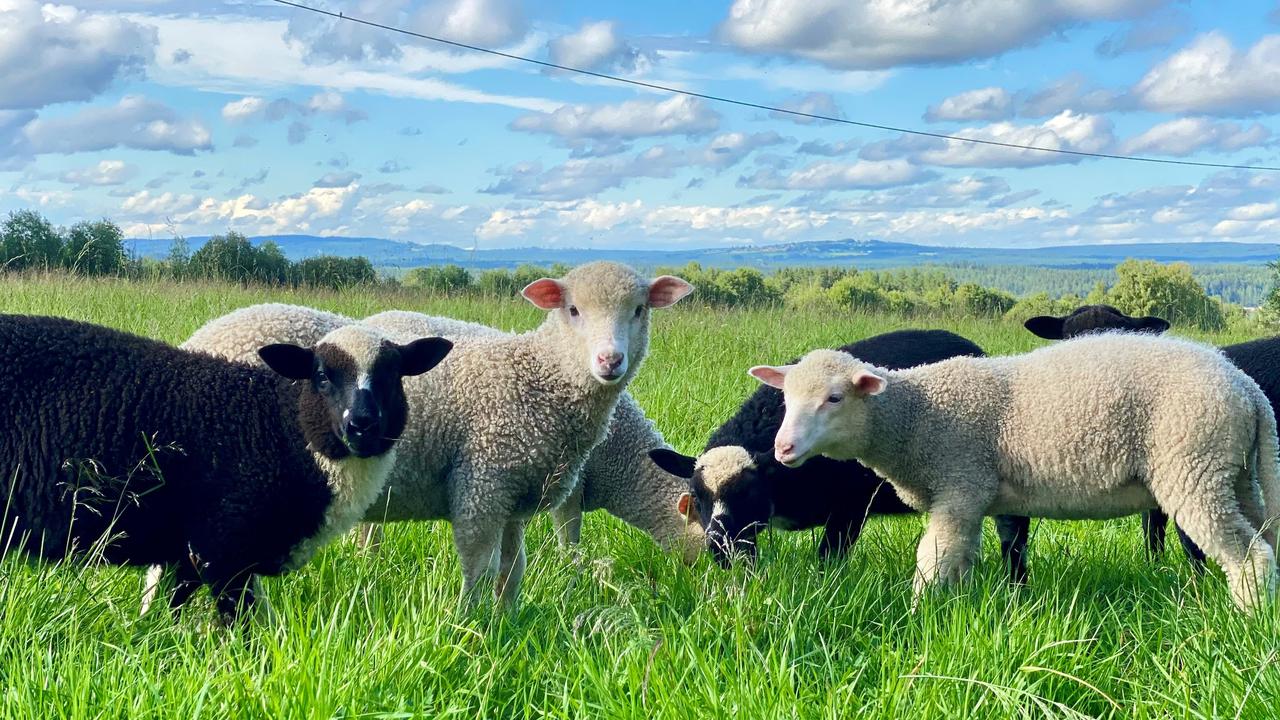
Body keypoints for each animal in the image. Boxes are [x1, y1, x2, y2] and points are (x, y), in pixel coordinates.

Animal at [0, 314, 451, 623]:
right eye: (321, 376)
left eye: (394, 375)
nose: (362, 425)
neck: (279, 429)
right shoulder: (223, 548)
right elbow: (239, 625)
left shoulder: (188, 552)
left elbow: (173, 610)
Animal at [648, 329, 1032, 581]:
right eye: (697, 496)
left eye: (747, 491)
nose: (717, 546)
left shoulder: (850, 507)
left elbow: (828, 558)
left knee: (1014, 539)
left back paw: (1014, 586)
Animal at [751, 333, 1280, 611]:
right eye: (786, 398)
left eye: (834, 398)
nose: (783, 448)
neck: (916, 416)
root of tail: (1247, 389)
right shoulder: (974, 500)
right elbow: (963, 560)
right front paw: (959, 613)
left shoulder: (960, 485)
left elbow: (933, 561)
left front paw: (918, 615)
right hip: (1234, 473)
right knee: (1265, 539)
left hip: (1194, 467)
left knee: (1247, 553)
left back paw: (1244, 616)